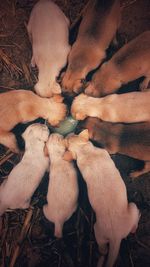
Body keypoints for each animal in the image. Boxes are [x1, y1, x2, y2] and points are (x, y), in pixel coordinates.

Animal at [64, 131, 141, 267]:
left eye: (73, 135)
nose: (69, 133)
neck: (85, 151)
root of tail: (116, 237)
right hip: (111, 222)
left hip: (101, 230)